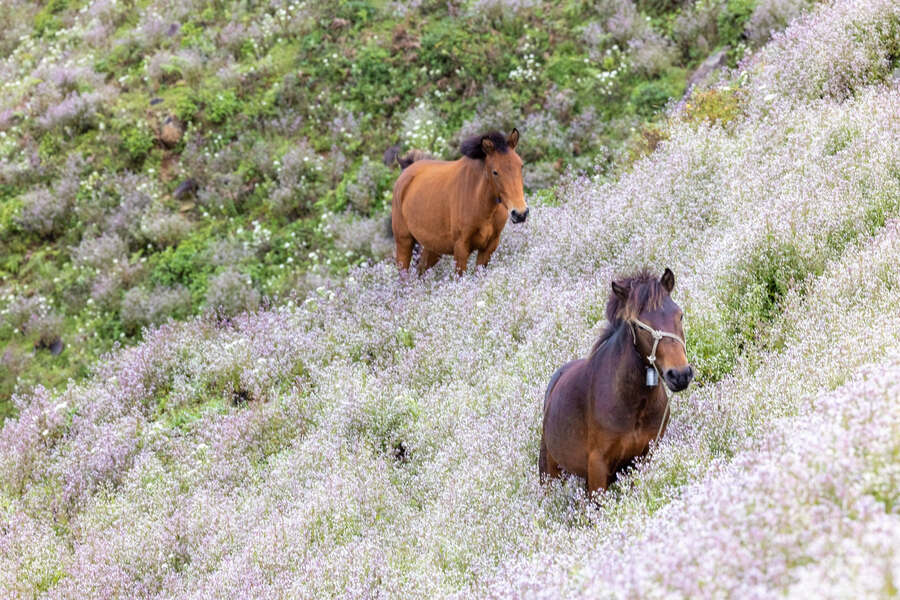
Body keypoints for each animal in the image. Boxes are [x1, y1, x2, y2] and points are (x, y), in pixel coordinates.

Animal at [388, 130, 528, 276]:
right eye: (495, 172)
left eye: (521, 166)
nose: (520, 213)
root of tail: (407, 170)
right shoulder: (461, 248)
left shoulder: (489, 247)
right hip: (404, 242)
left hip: (432, 248)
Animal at [540, 270, 696, 494]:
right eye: (639, 326)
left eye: (679, 315)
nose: (680, 374)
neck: (631, 402)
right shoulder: (597, 466)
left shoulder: (646, 455)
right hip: (549, 473)